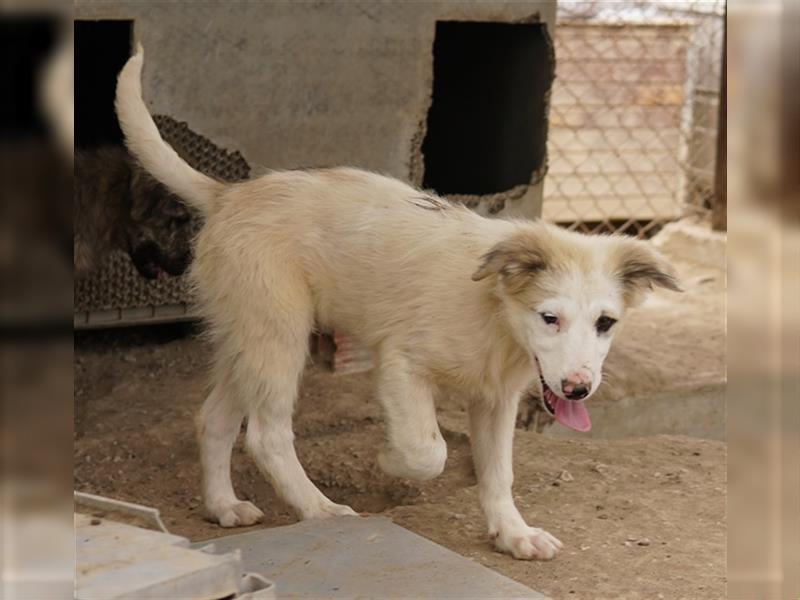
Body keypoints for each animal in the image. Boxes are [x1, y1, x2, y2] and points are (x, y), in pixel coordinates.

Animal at [115, 44, 680, 560]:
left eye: (606, 323)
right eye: (550, 318)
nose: (579, 390)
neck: (495, 313)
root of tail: (229, 195)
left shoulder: (496, 399)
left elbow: (499, 473)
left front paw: (514, 533)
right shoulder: (403, 365)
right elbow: (429, 449)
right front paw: (389, 462)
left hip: (248, 336)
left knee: (213, 418)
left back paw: (223, 506)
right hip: (279, 333)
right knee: (266, 434)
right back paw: (320, 509)